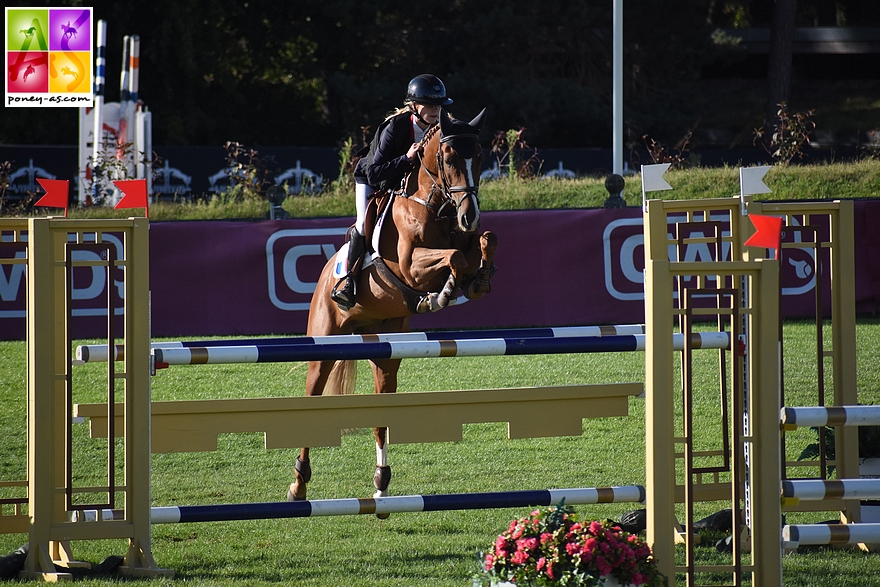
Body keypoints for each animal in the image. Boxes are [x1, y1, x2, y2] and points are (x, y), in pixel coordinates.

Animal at [288, 109, 498, 506]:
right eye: (450, 160)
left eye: (479, 158)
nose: (470, 216)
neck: (435, 205)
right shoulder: (409, 266)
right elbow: (454, 257)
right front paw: (442, 293)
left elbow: (481, 245)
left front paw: (478, 278)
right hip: (323, 346)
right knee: (312, 400)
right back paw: (298, 484)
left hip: (385, 353)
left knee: (381, 416)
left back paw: (381, 481)